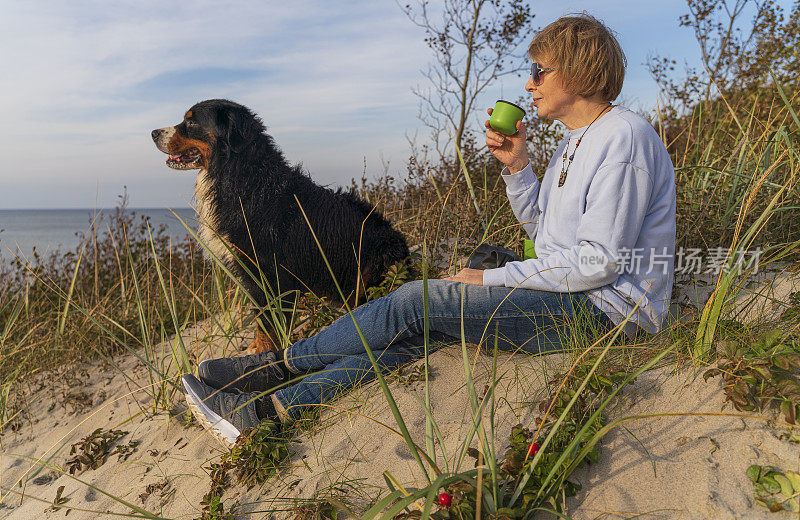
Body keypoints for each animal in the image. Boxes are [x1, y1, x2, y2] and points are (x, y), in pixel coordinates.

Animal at [153, 100, 410, 354]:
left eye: (191, 122)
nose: (153, 133)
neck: (240, 178)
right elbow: (261, 319)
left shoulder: (267, 272)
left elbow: (267, 322)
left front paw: (263, 355)